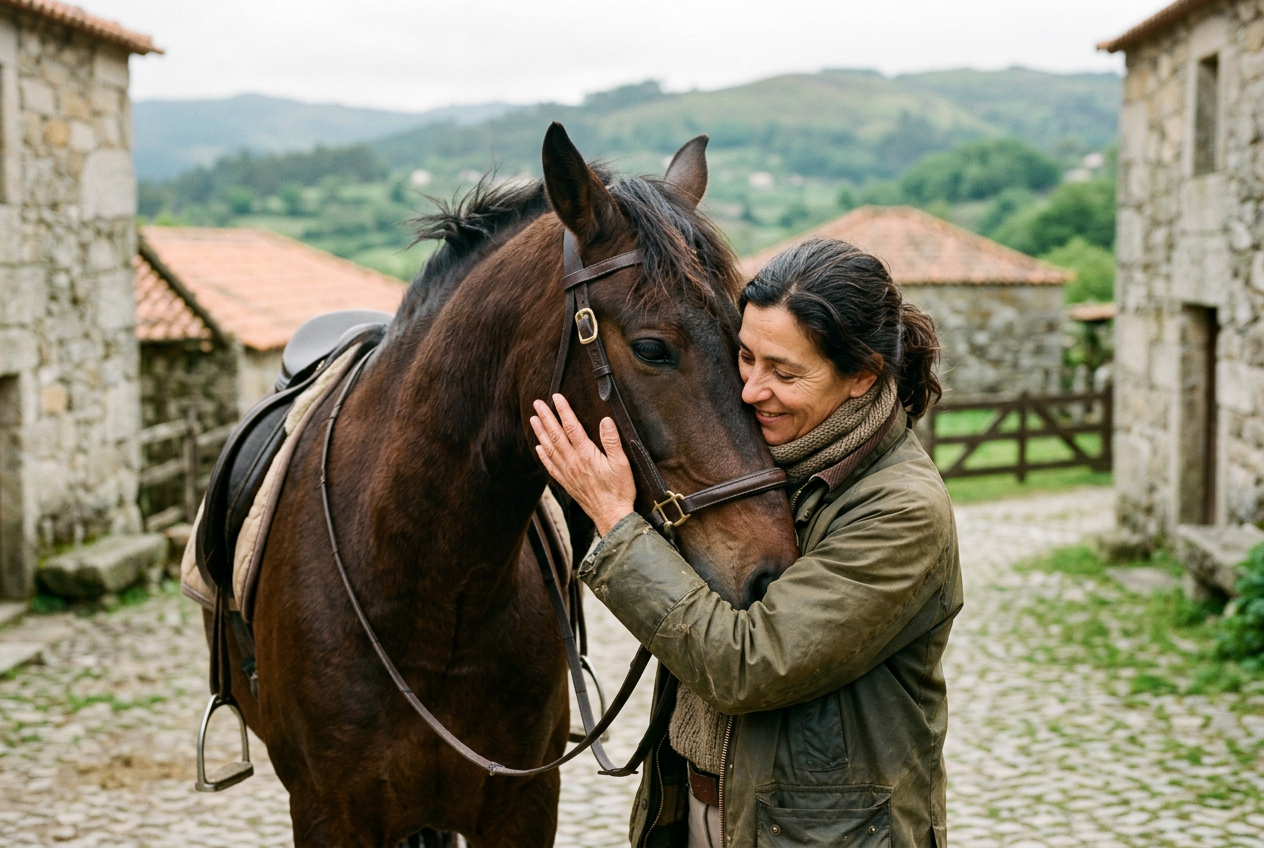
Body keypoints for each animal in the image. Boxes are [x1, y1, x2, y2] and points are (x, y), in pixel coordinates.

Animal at [209, 123, 799, 846]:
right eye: (653, 348)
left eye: (744, 347)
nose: (771, 571)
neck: (429, 598)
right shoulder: (328, 813)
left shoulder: (525, 803)